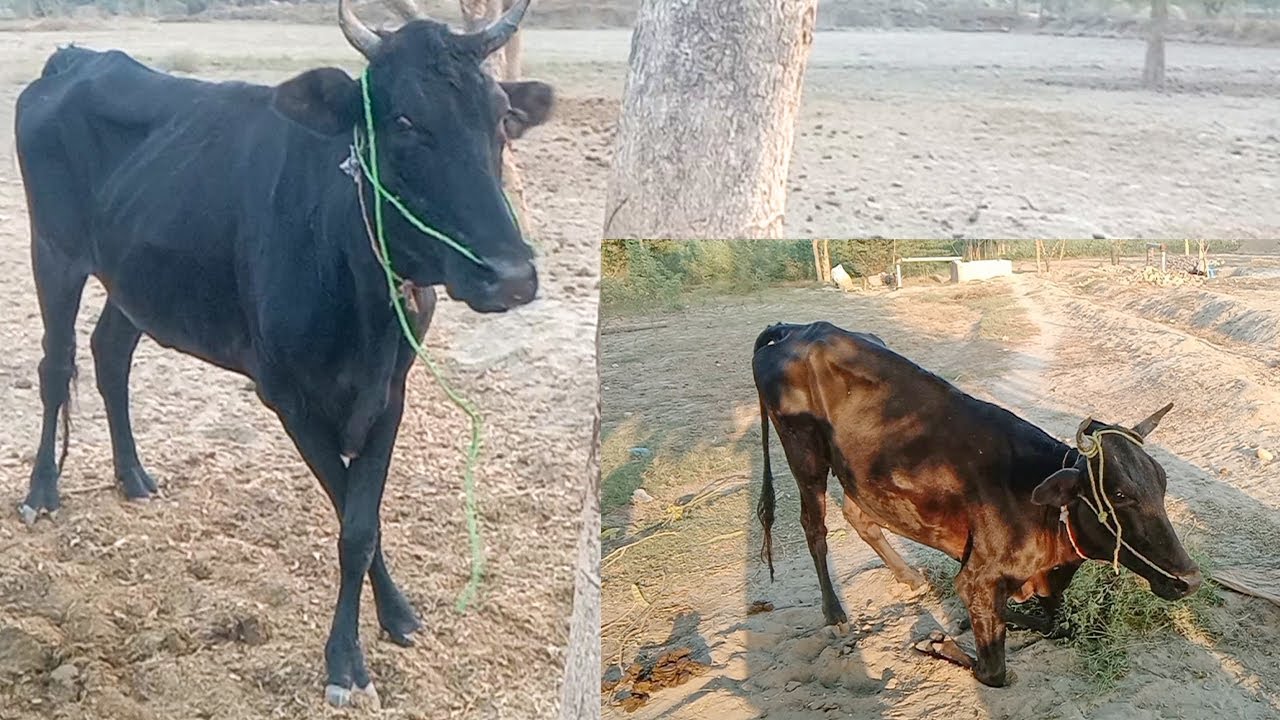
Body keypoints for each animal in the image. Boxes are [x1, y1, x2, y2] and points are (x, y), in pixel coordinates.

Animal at [14, 0, 554, 706]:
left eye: (499, 117)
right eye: (404, 120)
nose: (511, 275)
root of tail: (76, 56)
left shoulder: (392, 393)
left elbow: (362, 522)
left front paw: (397, 616)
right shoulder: (289, 396)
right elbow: (351, 518)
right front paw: (345, 663)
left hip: (134, 276)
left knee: (110, 354)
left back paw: (133, 477)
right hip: (54, 252)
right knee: (56, 366)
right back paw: (41, 490)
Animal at [751, 321, 1202, 687]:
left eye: (1162, 484)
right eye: (1120, 495)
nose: (1190, 580)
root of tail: (793, 328)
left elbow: (1057, 625)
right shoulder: (976, 580)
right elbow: (994, 672)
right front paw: (936, 643)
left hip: (861, 472)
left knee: (859, 515)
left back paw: (909, 577)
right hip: (803, 451)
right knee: (815, 526)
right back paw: (836, 616)